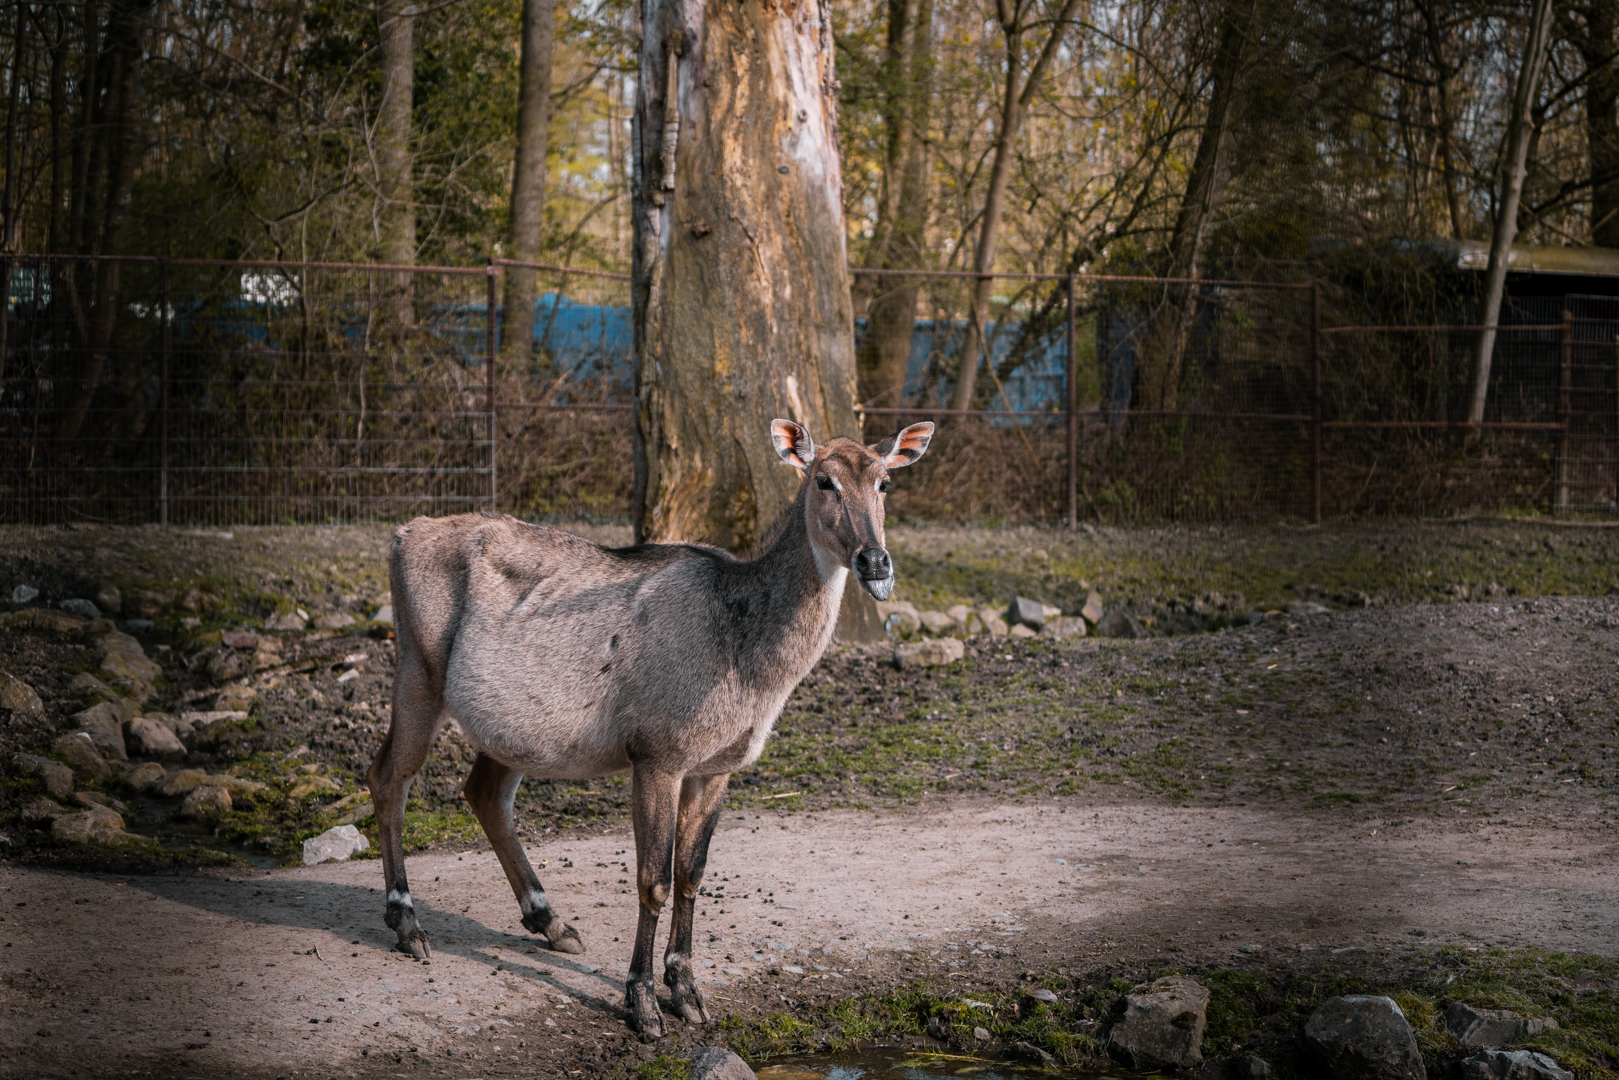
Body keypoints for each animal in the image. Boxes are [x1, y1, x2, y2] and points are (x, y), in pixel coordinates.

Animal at [367, 418, 934, 1041]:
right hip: (418, 673)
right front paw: (641, 1002)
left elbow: (691, 873)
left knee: (483, 792)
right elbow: (652, 878)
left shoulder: (714, 768)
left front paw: (687, 991)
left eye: (884, 483)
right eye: (823, 480)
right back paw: (408, 924)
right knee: (388, 776)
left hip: (510, 729)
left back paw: (552, 922)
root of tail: (400, 534)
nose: (874, 561)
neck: (749, 656)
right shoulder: (657, 754)